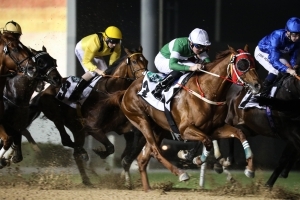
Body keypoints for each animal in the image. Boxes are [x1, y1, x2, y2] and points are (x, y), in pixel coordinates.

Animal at [106, 44, 262, 191]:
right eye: (242, 64)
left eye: (254, 62)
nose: (257, 85)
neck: (207, 91)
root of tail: (126, 91)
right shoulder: (185, 130)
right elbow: (207, 141)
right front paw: (193, 158)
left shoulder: (214, 128)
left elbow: (239, 133)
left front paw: (250, 169)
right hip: (141, 121)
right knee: (155, 151)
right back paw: (181, 173)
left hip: (158, 130)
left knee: (142, 158)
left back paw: (148, 189)